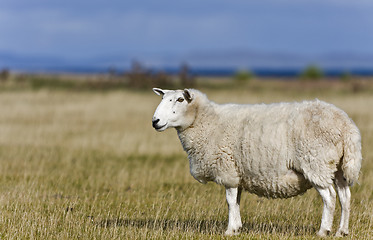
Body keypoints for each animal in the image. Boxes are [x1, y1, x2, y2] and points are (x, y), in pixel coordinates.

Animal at [150, 87, 360, 236]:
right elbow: (236, 201)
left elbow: (229, 201)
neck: (206, 121)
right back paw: (342, 231)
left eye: (180, 99)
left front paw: (230, 230)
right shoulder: (238, 173)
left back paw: (324, 231)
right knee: (345, 197)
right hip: (338, 167)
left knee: (330, 197)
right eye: (163, 99)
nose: (155, 121)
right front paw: (237, 227)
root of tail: (346, 125)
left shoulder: (227, 169)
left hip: (316, 163)